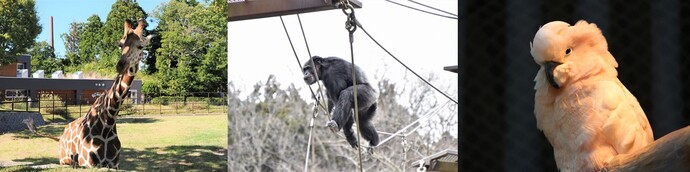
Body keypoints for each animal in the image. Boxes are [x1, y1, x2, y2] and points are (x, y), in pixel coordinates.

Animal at [26, 18, 152, 168]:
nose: (120, 65)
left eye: (140, 46)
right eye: (121, 44)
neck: (107, 123)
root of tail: (61, 136)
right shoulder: (88, 163)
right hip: (64, 161)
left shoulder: (114, 164)